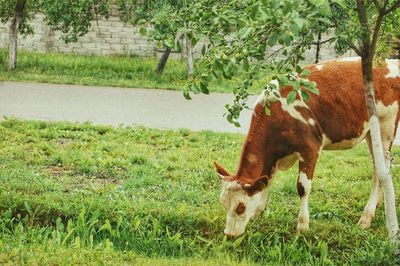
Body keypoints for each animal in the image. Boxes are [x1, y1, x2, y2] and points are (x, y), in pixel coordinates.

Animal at [216, 56, 400, 237]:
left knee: (381, 170)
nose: (229, 235)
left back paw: (366, 217)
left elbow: (302, 187)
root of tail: (389, 61)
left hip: (386, 125)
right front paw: (258, 212)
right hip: (371, 133)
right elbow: (267, 180)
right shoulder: (274, 156)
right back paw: (378, 205)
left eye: (241, 207)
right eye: (223, 204)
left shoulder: (310, 148)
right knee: (378, 167)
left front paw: (302, 226)